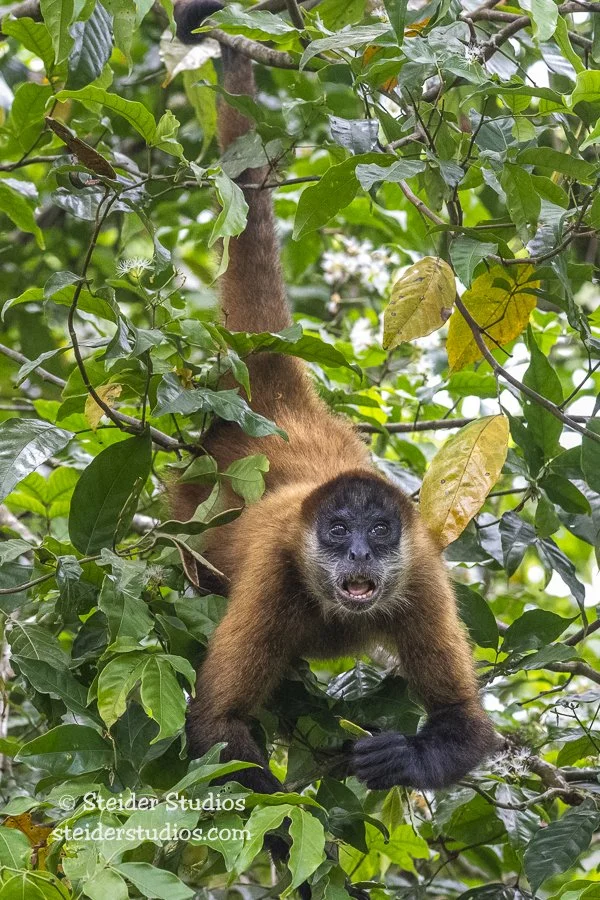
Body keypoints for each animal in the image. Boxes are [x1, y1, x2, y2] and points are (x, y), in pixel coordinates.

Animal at [172, 0, 499, 802]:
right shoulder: (275, 575)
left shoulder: (420, 572)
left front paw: (403, 759)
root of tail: (279, 404)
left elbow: (469, 728)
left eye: (379, 532)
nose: (356, 553)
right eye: (338, 530)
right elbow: (217, 724)